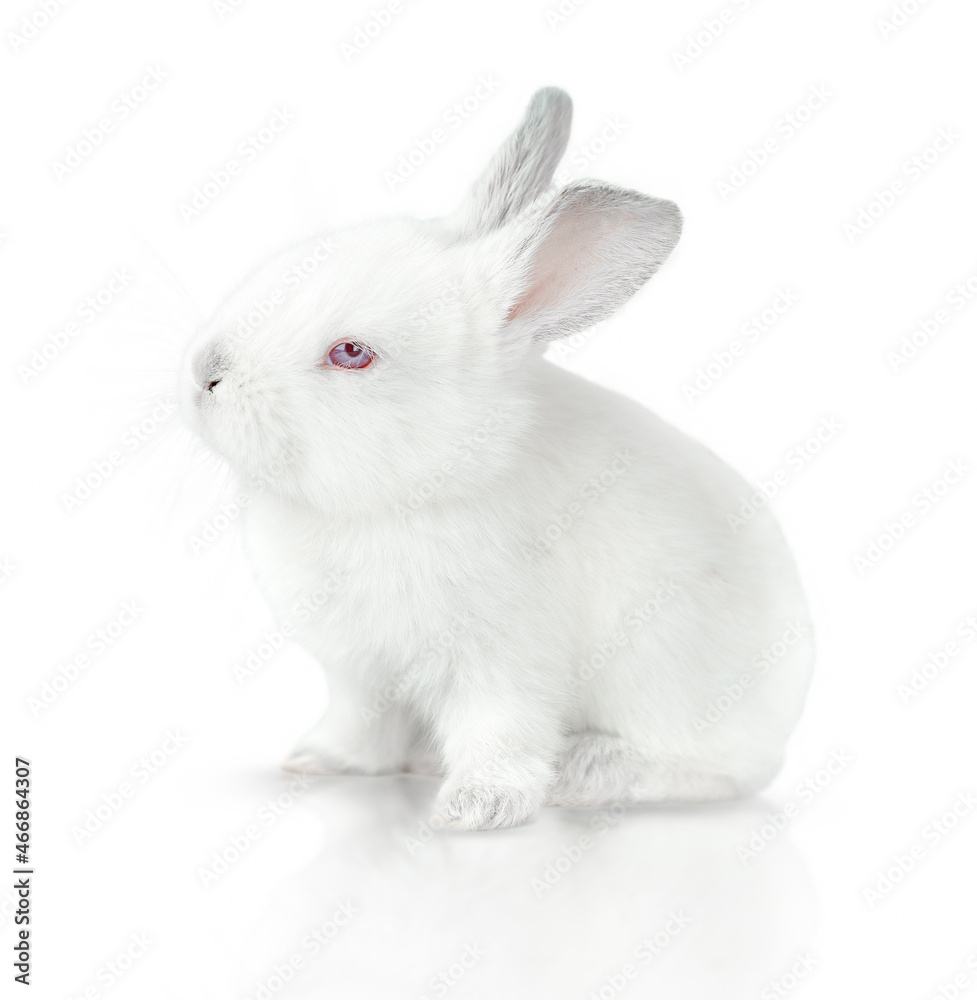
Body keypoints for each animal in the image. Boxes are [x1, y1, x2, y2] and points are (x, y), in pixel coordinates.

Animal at [179, 92, 812, 828]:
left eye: (351, 353)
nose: (205, 374)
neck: (398, 500)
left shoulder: (504, 668)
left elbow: (501, 734)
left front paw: (475, 809)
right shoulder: (359, 674)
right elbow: (359, 729)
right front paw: (316, 762)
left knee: (713, 772)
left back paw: (589, 772)